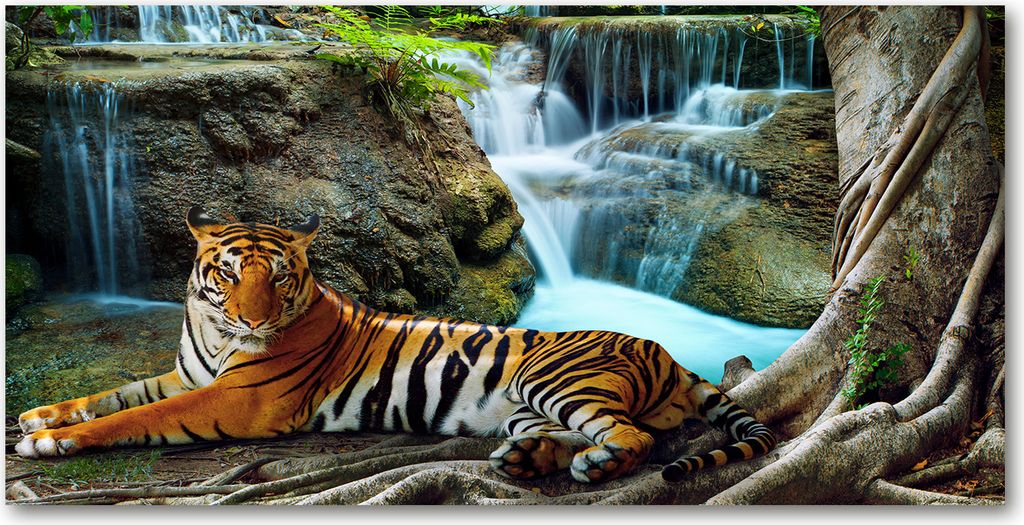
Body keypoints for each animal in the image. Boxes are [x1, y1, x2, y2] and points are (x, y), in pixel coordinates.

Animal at [16, 207, 776, 483]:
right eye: (227, 273)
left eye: (278, 276)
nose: (254, 321)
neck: (212, 330)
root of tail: (667, 352)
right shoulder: (188, 375)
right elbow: (115, 394)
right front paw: (40, 415)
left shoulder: (236, 400)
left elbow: (136, 416)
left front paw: (49, 441)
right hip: (526, 407)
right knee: (580, 433)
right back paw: (528, 459)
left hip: (555, 379)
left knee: (634, 437)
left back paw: (597, 464)